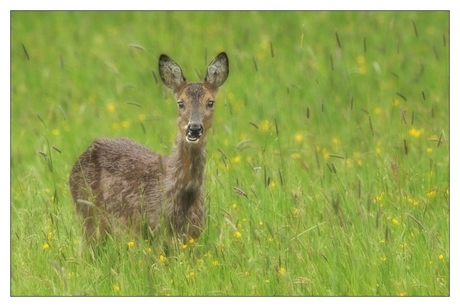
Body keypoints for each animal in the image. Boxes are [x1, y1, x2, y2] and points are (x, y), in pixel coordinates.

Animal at [69, 52, 229, 241]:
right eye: (180, 103)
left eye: (210, 102)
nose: (194, 129)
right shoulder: (151, 233)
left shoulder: (194, 235)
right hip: (87, 216)